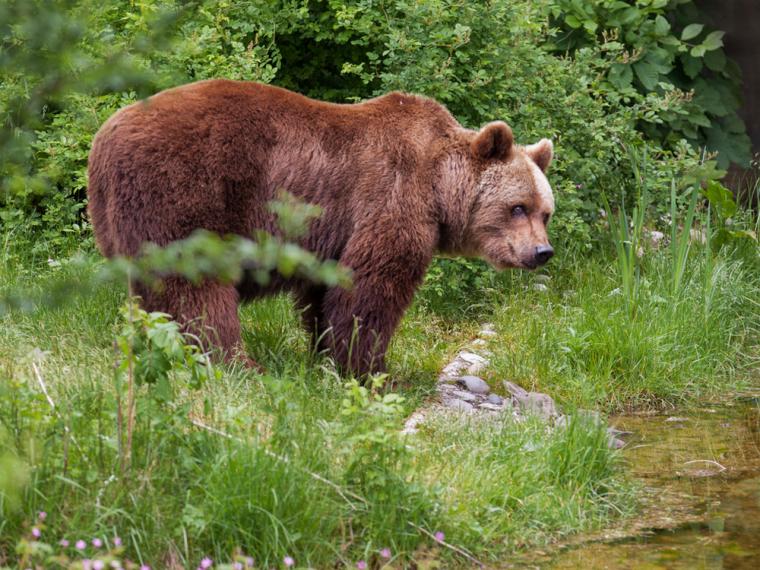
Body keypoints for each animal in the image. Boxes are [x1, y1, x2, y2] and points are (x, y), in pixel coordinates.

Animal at [87, 79, 552, 372]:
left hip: (119, 219)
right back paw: (238, 364)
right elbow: (371, 290)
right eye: (518, 207)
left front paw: (325, 355)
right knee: (196, 286)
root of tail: (103, 140)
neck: (438, 187)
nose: (542, 252)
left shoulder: (330, 234)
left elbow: (323, 297)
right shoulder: (390, 197)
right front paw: (372, 370)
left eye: (545, 211)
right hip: (186, 190)